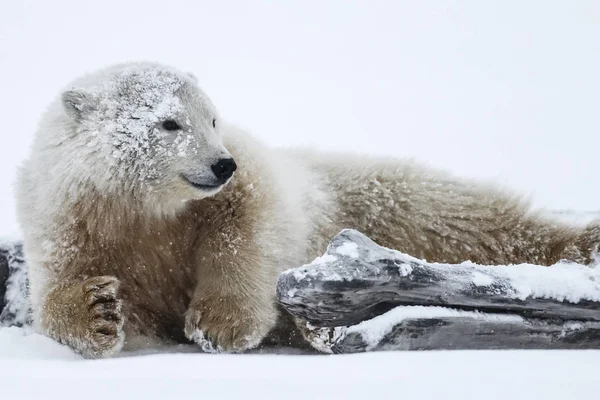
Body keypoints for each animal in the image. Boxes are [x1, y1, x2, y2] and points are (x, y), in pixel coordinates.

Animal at [16, 61, 596, 360]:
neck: (144, 208)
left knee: (458, 213)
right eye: (168, 122)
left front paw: (220, 325)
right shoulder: (66, 217)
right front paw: (98, 312)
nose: (221, 164)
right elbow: (59, 288)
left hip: (370, 195)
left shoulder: (244, 182)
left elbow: (252, 225)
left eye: (213, 118)